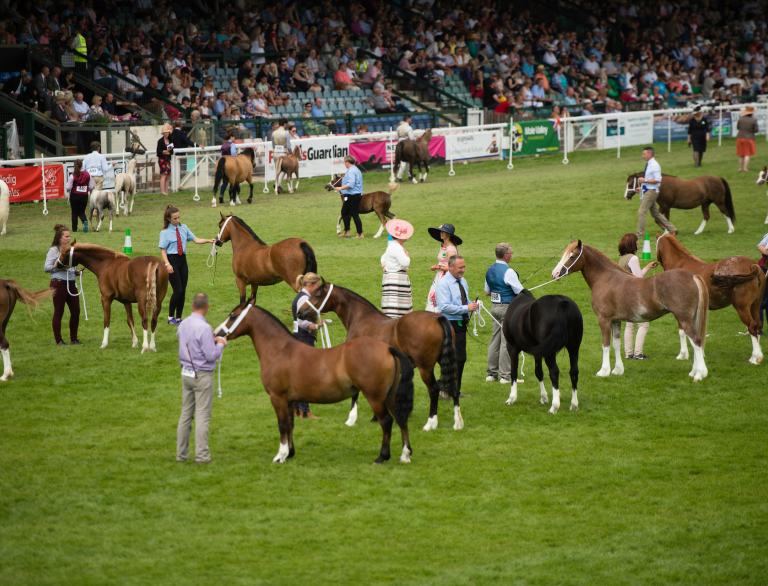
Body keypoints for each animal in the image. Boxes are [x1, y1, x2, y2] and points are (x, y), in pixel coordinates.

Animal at [214, 299, 415, 464]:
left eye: (232, 316)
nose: (217, 333)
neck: (280, 350)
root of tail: (388, 348)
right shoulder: (289, 400)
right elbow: (290, 424)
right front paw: (290, 453)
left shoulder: (277, 398)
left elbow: (282, 425)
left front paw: (280, 456)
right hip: (390, 396)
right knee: (401, 420)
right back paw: (405, 455)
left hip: (375, 397)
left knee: (387, 422)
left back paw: (382, 457)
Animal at [297, 280, 462, 430]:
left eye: (317, 295)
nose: (299, 312)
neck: (360, 318)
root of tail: (437, 318)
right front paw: (376, 418)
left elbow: (355, 393)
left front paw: (351, 419)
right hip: (447, 361)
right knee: (454, 385)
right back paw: (458, 422)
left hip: (425, 368)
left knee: (434, 389)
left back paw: (430, 423)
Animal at [552, 240, 710, 381]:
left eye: (572, 256)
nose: (555, 273)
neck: (606, 278)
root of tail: (692, 275)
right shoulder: (615, 321)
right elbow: (616, 344)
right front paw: (617, 370)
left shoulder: (604, 320)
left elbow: (605, 345)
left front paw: (603, 371)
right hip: (690, 319)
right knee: (694, 342)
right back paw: (693, 371)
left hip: (684, 319)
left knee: (696, 340)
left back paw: (699, 374)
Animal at [656, 232, 765, 364]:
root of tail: (751, 265)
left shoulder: (682, 312)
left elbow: (682, 331)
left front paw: (683, 355)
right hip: (755, 306)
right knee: (758, 326)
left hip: (742, 308)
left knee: (752, 327)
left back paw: (755, 357)